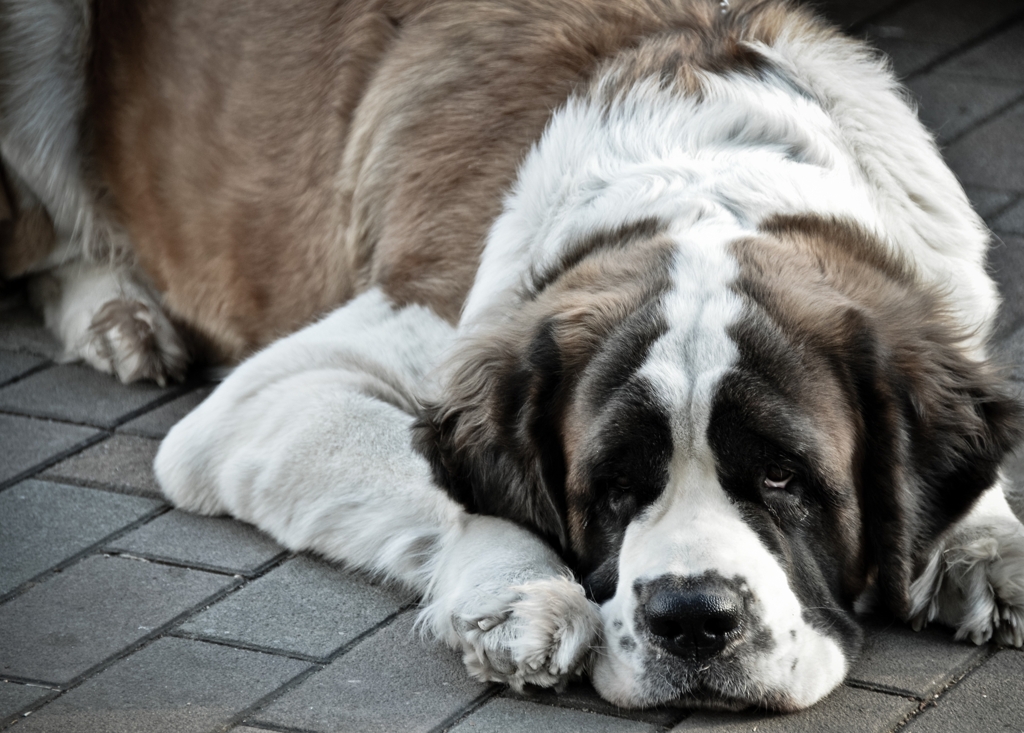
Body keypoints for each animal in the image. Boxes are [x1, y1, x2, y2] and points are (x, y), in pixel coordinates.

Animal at [6, 0, 1024, 712]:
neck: (706, 160)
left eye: (783, 476)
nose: (692, 618)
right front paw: (522, 593)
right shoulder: (281, 391)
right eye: (610, 486)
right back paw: (118, 313)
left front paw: (990, 544)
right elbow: (451, 484)